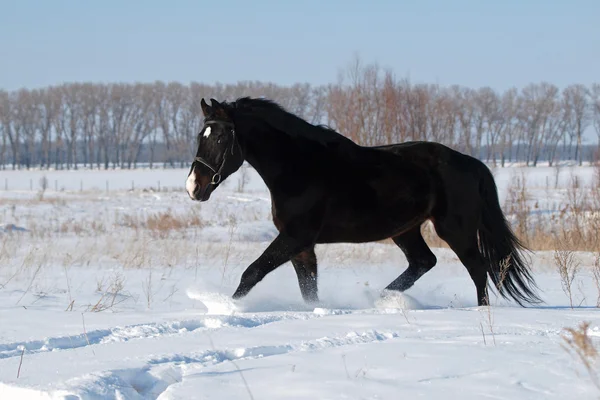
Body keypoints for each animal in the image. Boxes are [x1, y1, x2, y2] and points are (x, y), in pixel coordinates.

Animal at [185, 97, 540, 306]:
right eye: (201, 135)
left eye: (220, 137)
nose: (193, 187)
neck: (299, 166)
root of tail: (472, 163)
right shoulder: (302, 245)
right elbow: (308, 289)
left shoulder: (295, 237)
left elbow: (252, 272)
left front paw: (228, 307)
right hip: (406, 230)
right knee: (424, 262)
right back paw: (381, 298)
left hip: (455, 230)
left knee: (477, 270)